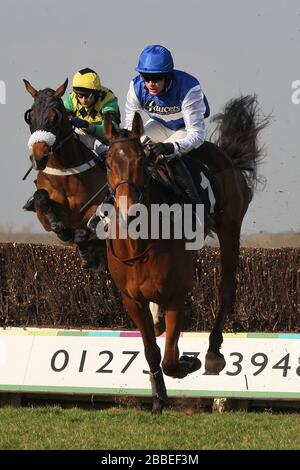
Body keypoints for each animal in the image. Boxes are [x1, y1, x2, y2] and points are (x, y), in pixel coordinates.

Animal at [23, 81, 108, 268]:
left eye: (55, 116)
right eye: (30, 116)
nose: (39, 157)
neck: (65, 174)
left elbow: (89, 224)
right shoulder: (43, 215)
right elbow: (41, 199)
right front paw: (61, 228)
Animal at [103, 97, 270, 414]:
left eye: (141, 161)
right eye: (107, 162)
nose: (128, 211)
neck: (139, 244)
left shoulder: (176, 296)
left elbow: (170, 359)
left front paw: (187, 362)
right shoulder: (131, 300)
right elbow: (151, 351)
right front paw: (158, 397)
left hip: (230, 229)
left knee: (225, 289)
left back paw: (213, 352)